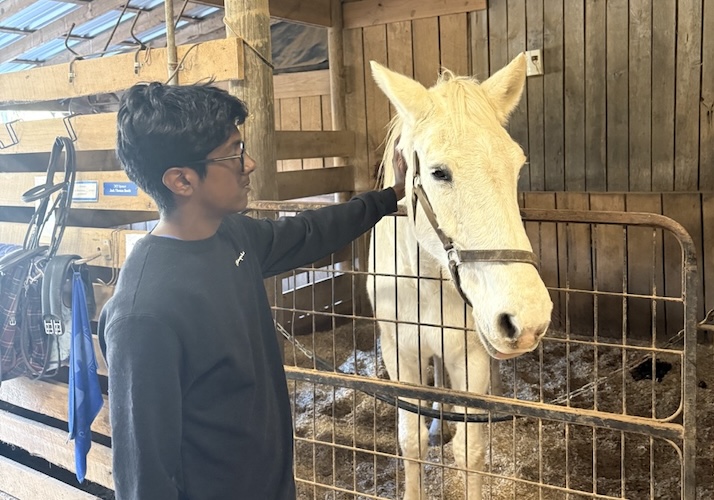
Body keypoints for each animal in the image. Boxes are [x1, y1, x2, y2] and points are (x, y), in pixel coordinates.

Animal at [366, 54, 553, 499]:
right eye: (439, 173)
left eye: (516, 166)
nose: (528, 319)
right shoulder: (399, 352)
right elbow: (411, 441)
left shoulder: (470, 356)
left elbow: (470, 450)